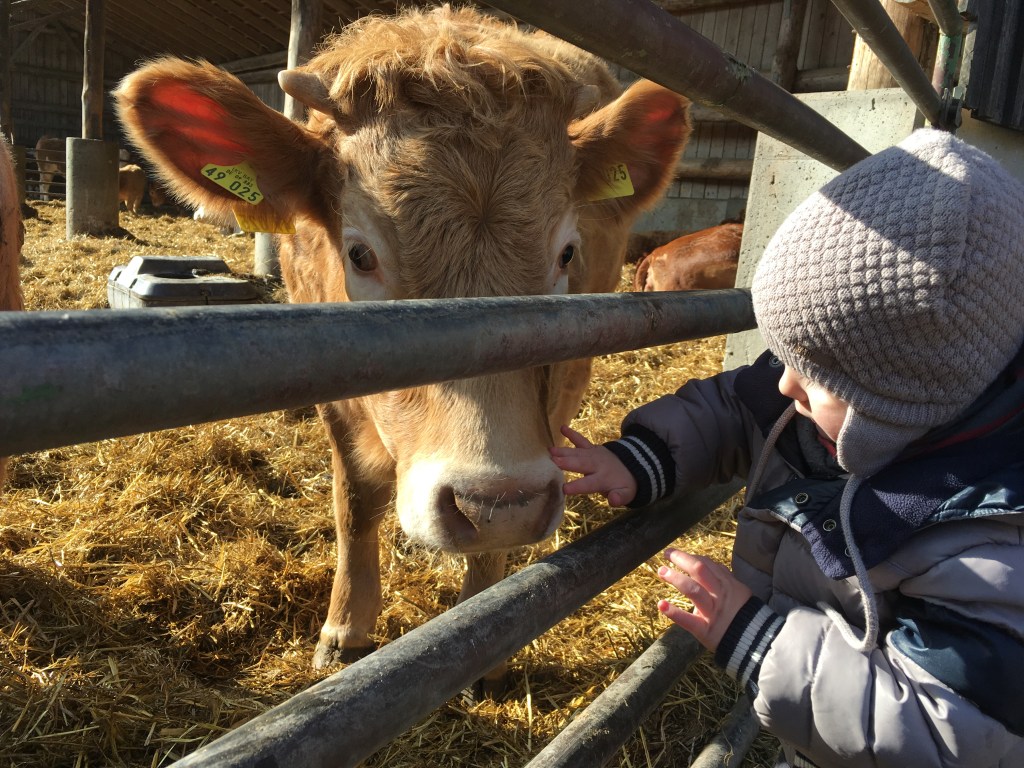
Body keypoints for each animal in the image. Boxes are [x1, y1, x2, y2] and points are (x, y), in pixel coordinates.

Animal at [115, 6, 691, 689]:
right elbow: (356, 502)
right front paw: (344, 630)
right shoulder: (332, 387)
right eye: (360, 254)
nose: (495, 505)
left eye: (566, 253)